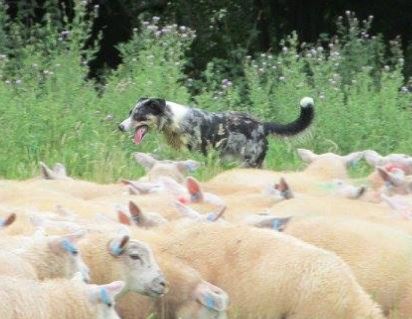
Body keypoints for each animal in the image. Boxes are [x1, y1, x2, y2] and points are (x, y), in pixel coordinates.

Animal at [119, 97, 316, 168]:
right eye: (130, 113)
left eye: (138, 115)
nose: (120, 127)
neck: (173, 121)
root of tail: (262, 125)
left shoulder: (196, 154)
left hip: (250, 162)